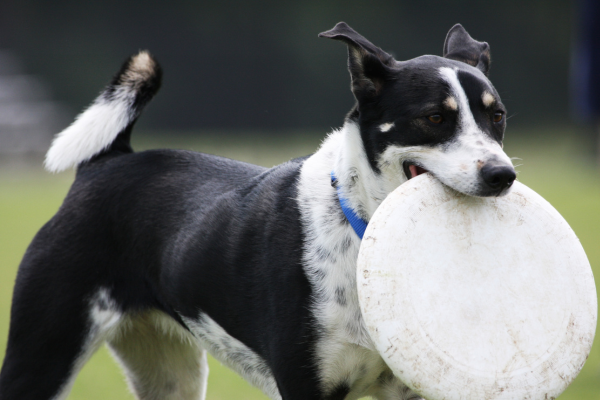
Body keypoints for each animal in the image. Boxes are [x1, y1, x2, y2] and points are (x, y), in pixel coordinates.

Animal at [0, 22, 516, 400]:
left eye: (498, 117)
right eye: (434, 117)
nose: (502, 175)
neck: (363, 242)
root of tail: (108, 161)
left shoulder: (407, 389)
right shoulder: (306, 386)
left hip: (172, 374)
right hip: (41, 354)